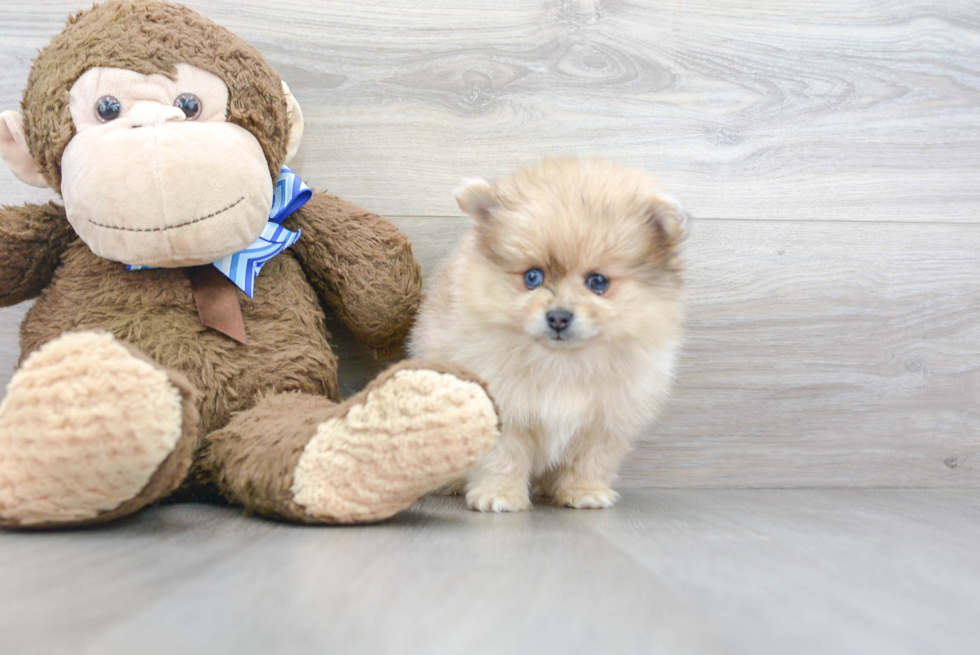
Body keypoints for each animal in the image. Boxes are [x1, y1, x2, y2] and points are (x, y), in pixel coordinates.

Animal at [410, 158, 684, 512]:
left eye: (598, 282)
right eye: (532, 277)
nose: (558, 317)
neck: (561, 363)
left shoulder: (605, 419)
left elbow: (590, 459)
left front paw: (584, 492)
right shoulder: (502, 407)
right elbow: (503, 456)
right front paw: (499, 494)